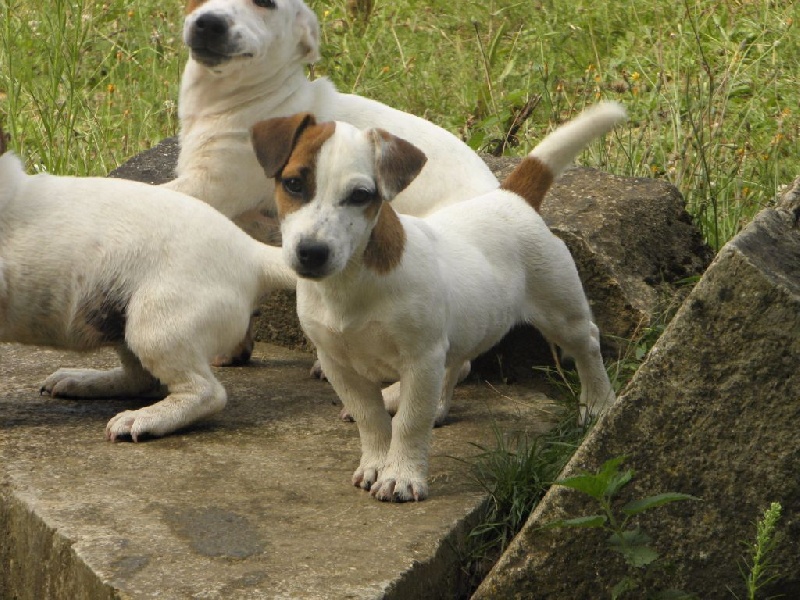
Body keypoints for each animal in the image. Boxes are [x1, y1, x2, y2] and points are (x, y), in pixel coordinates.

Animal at [0, 129, 296, 442]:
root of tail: (251, 253)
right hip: (122, 320)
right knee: (142, 380)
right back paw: (84, 380)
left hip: (156, 326)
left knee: (206, 392)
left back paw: (145, 418)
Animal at [253, 103, 628, 502]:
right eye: (293, 184)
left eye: (359, 195)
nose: (311, 253)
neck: (350, 282)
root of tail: (510, 197)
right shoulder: (338, 363)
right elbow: (371, 419)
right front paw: (376, 463)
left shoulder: (421, 359)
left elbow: (409, 423)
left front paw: (401, 476)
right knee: (457, 361)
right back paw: (440, 406)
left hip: (560, 311)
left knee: (587, 344)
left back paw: (599, 404)